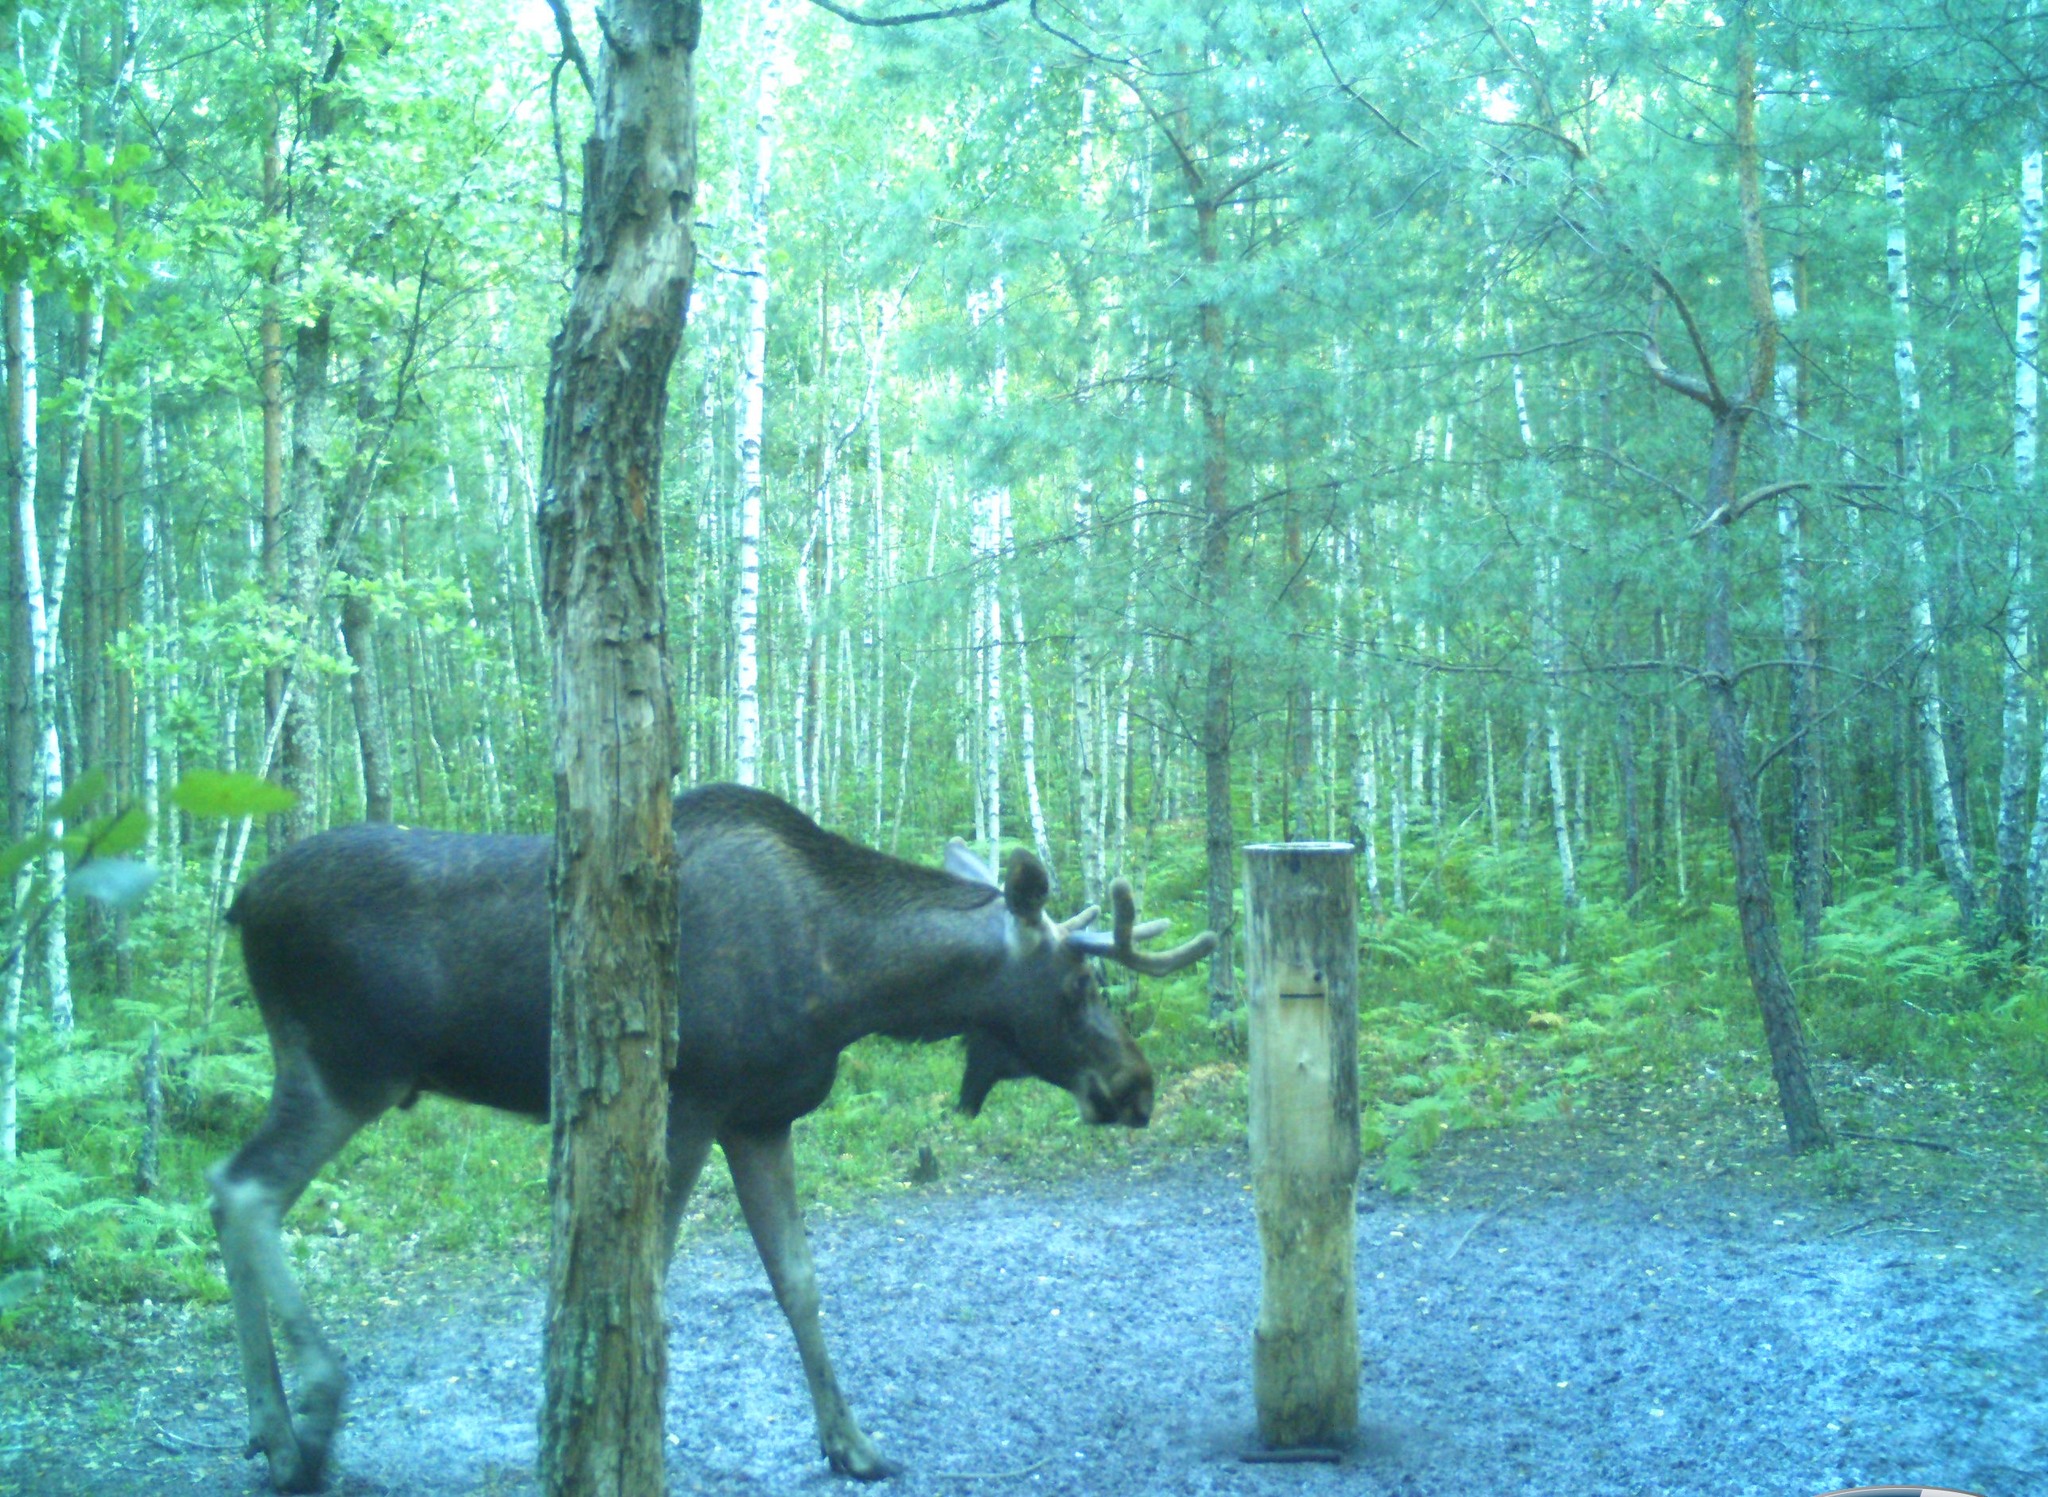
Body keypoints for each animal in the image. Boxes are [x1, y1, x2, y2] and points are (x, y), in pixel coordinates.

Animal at [207, 786, 1204, 1490]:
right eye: (1079, 982)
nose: (1139, 1085)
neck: (850, 983)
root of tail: (241, 900)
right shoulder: (688, 1104)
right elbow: (647, 1285)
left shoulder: (760, 1116)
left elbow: (799, 1282)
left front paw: (853, 1443)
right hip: (349, 1066)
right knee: (248, 1189)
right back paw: (313, 1414)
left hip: (320, 1069)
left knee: (223, 1184)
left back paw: (268, 1429)